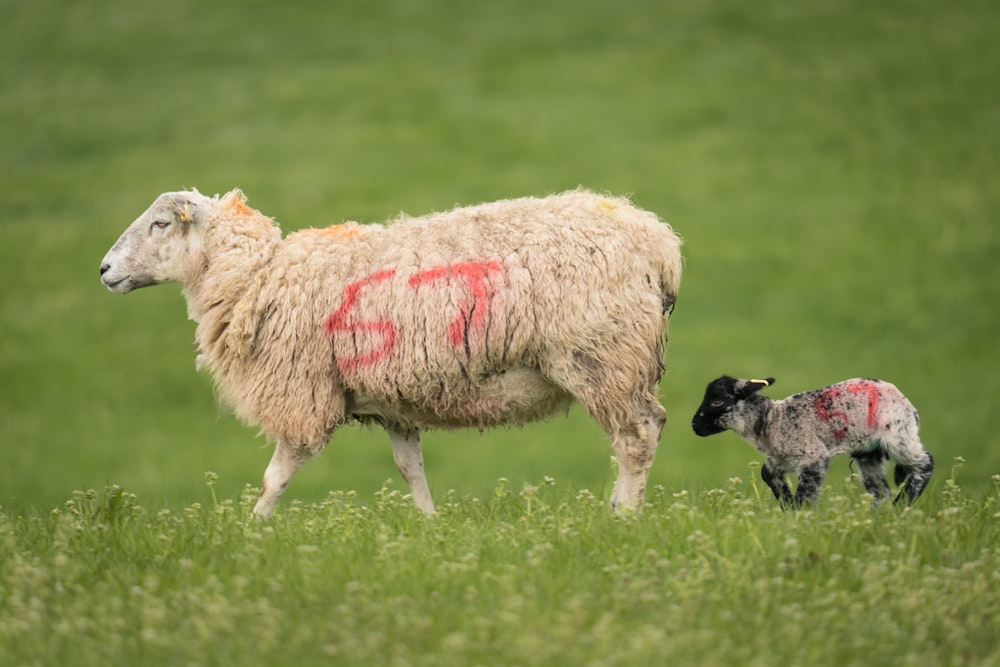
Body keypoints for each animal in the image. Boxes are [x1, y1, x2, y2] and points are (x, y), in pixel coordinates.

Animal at [99, 187, 680, 516]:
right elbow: (409, 468)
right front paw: (429, 526)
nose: (104, 270)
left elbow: (277, 474)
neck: (258, 278)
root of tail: (658, 241)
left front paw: (250, 535)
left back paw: (623, 519)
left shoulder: (304, 393)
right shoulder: (394, 401)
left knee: (637, 435)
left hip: (601, 355)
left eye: (159, 223)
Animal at [692, 376, 932, 506]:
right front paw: (787, 504)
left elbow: (806, 493)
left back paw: (904, 502)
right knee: (879, 490)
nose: (694, 425)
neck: (773, 420)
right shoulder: (781, 457)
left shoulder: (812, 457)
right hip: (868, 452)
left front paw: (800, 514)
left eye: (716, 401)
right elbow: (766, 473)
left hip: (898, 436)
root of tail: (910, 407)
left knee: (925, 462)